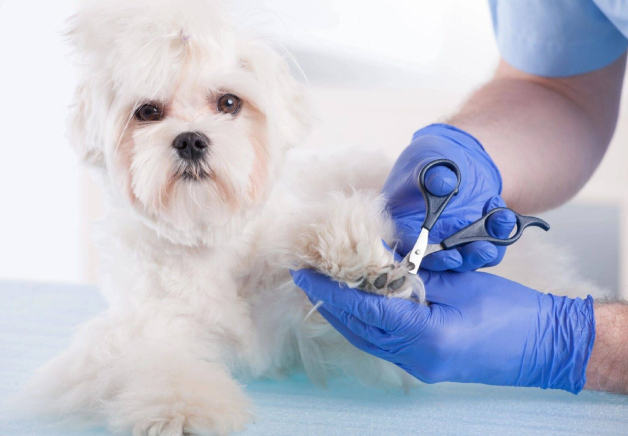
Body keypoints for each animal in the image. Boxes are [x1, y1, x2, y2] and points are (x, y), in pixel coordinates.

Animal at [18, 0, 600, 436]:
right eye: (148, 112)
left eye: (228, 102)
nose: (190, 139)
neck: (211, 242)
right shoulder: (147, 325)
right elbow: (160, 361)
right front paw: (180, 411)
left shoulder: (318, 327)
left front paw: (354, 258)